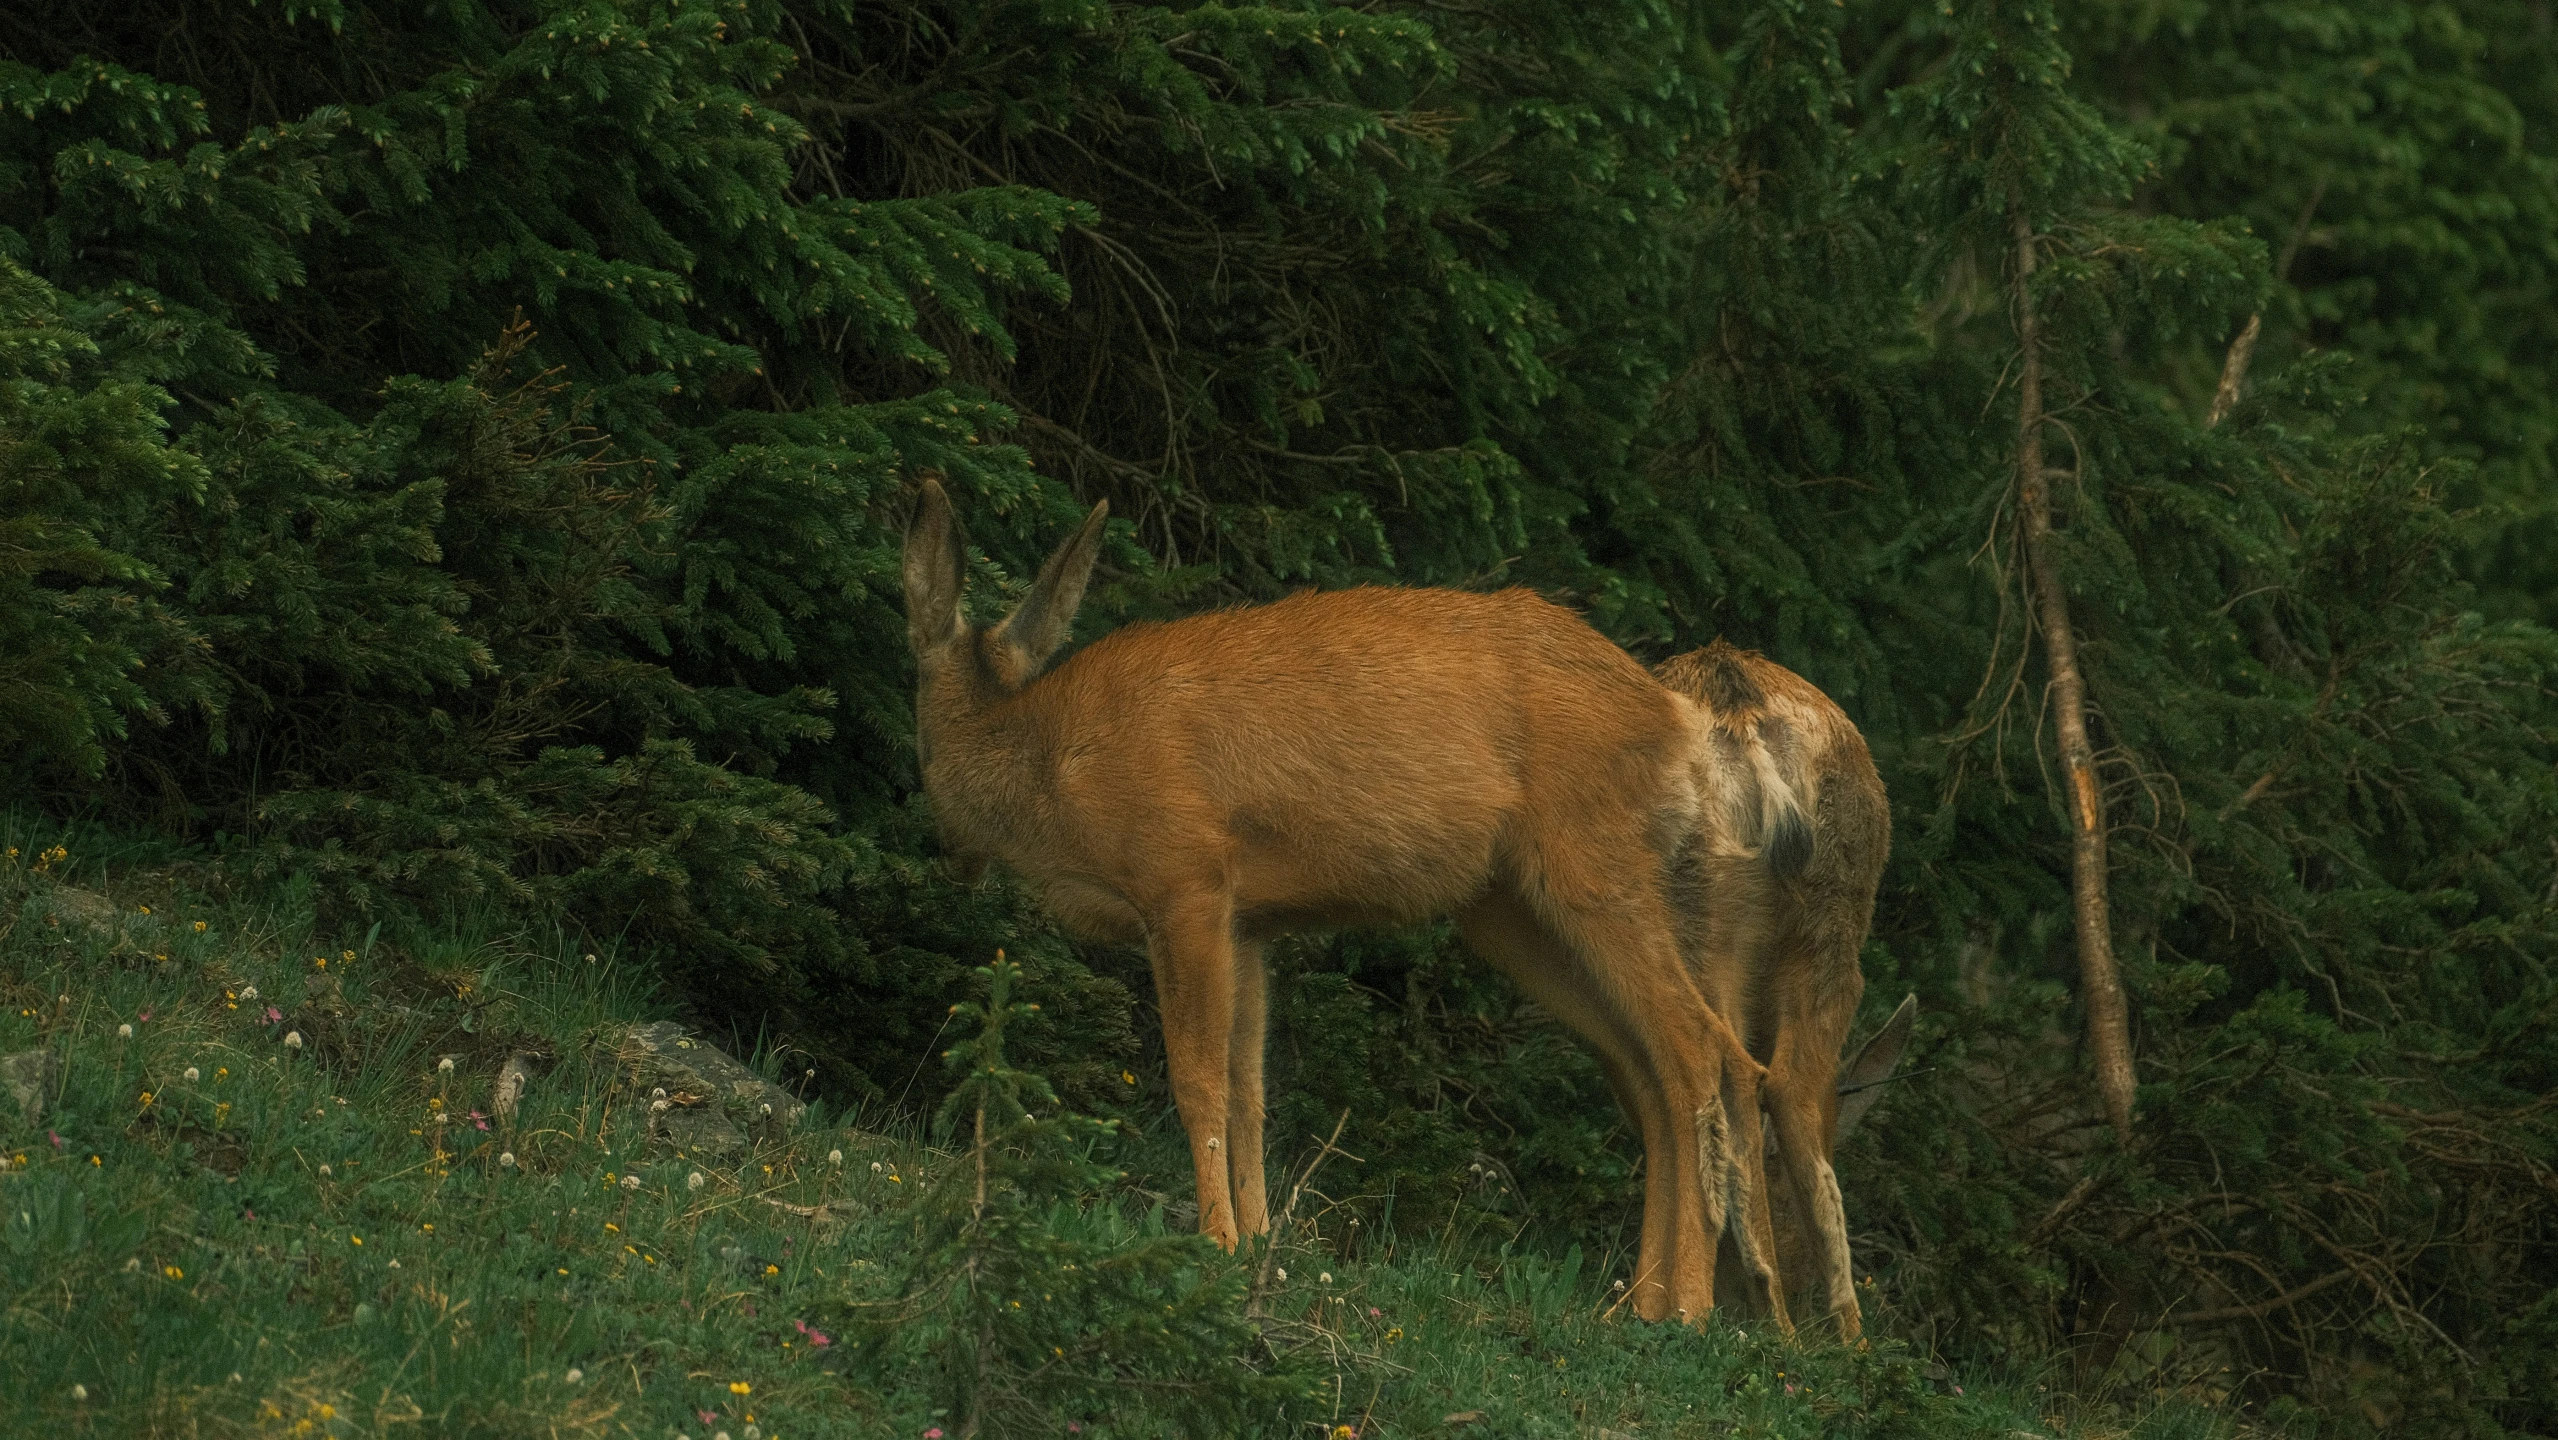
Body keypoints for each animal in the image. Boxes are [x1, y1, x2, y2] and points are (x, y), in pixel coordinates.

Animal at [910, 478, 1790, 1319]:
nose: (949, 854)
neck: (1050, 764)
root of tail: (1679, 718)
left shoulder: (1184, 878)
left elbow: (1198, 1080)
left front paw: (1215, 1241)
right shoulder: (1247, 922)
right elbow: (1251, 1091)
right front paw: (1259, 1240)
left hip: (1593, 861)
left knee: (1699, 1048)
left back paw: (1688, 1307)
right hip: (1511, 912)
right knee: (1648, 1071)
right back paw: (1638, 1305)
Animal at [1647, 641, 1913, 1340]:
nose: (1798, 1279)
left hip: (1706, 916)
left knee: (1734, 1075)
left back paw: (1773, 1316)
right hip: (1836, 916)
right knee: (1789, 1084)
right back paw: (1842, 1336)